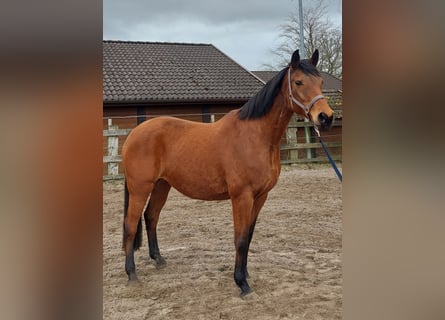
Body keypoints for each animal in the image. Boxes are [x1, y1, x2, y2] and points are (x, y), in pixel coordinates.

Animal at [121, 48, 332, 296]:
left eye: (321, 82)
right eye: (298, 82)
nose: (325, 117)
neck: (255, 136)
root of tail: (134, 133)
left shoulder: (260, 196)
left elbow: (248, 236)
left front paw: (246, 274)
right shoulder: (242, 197)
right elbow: (239, 239)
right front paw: (242, 284)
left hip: (162, 185)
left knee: (151, 216)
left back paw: (158, 259)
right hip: (140, 188)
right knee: (131, 224)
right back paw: (131, 273)